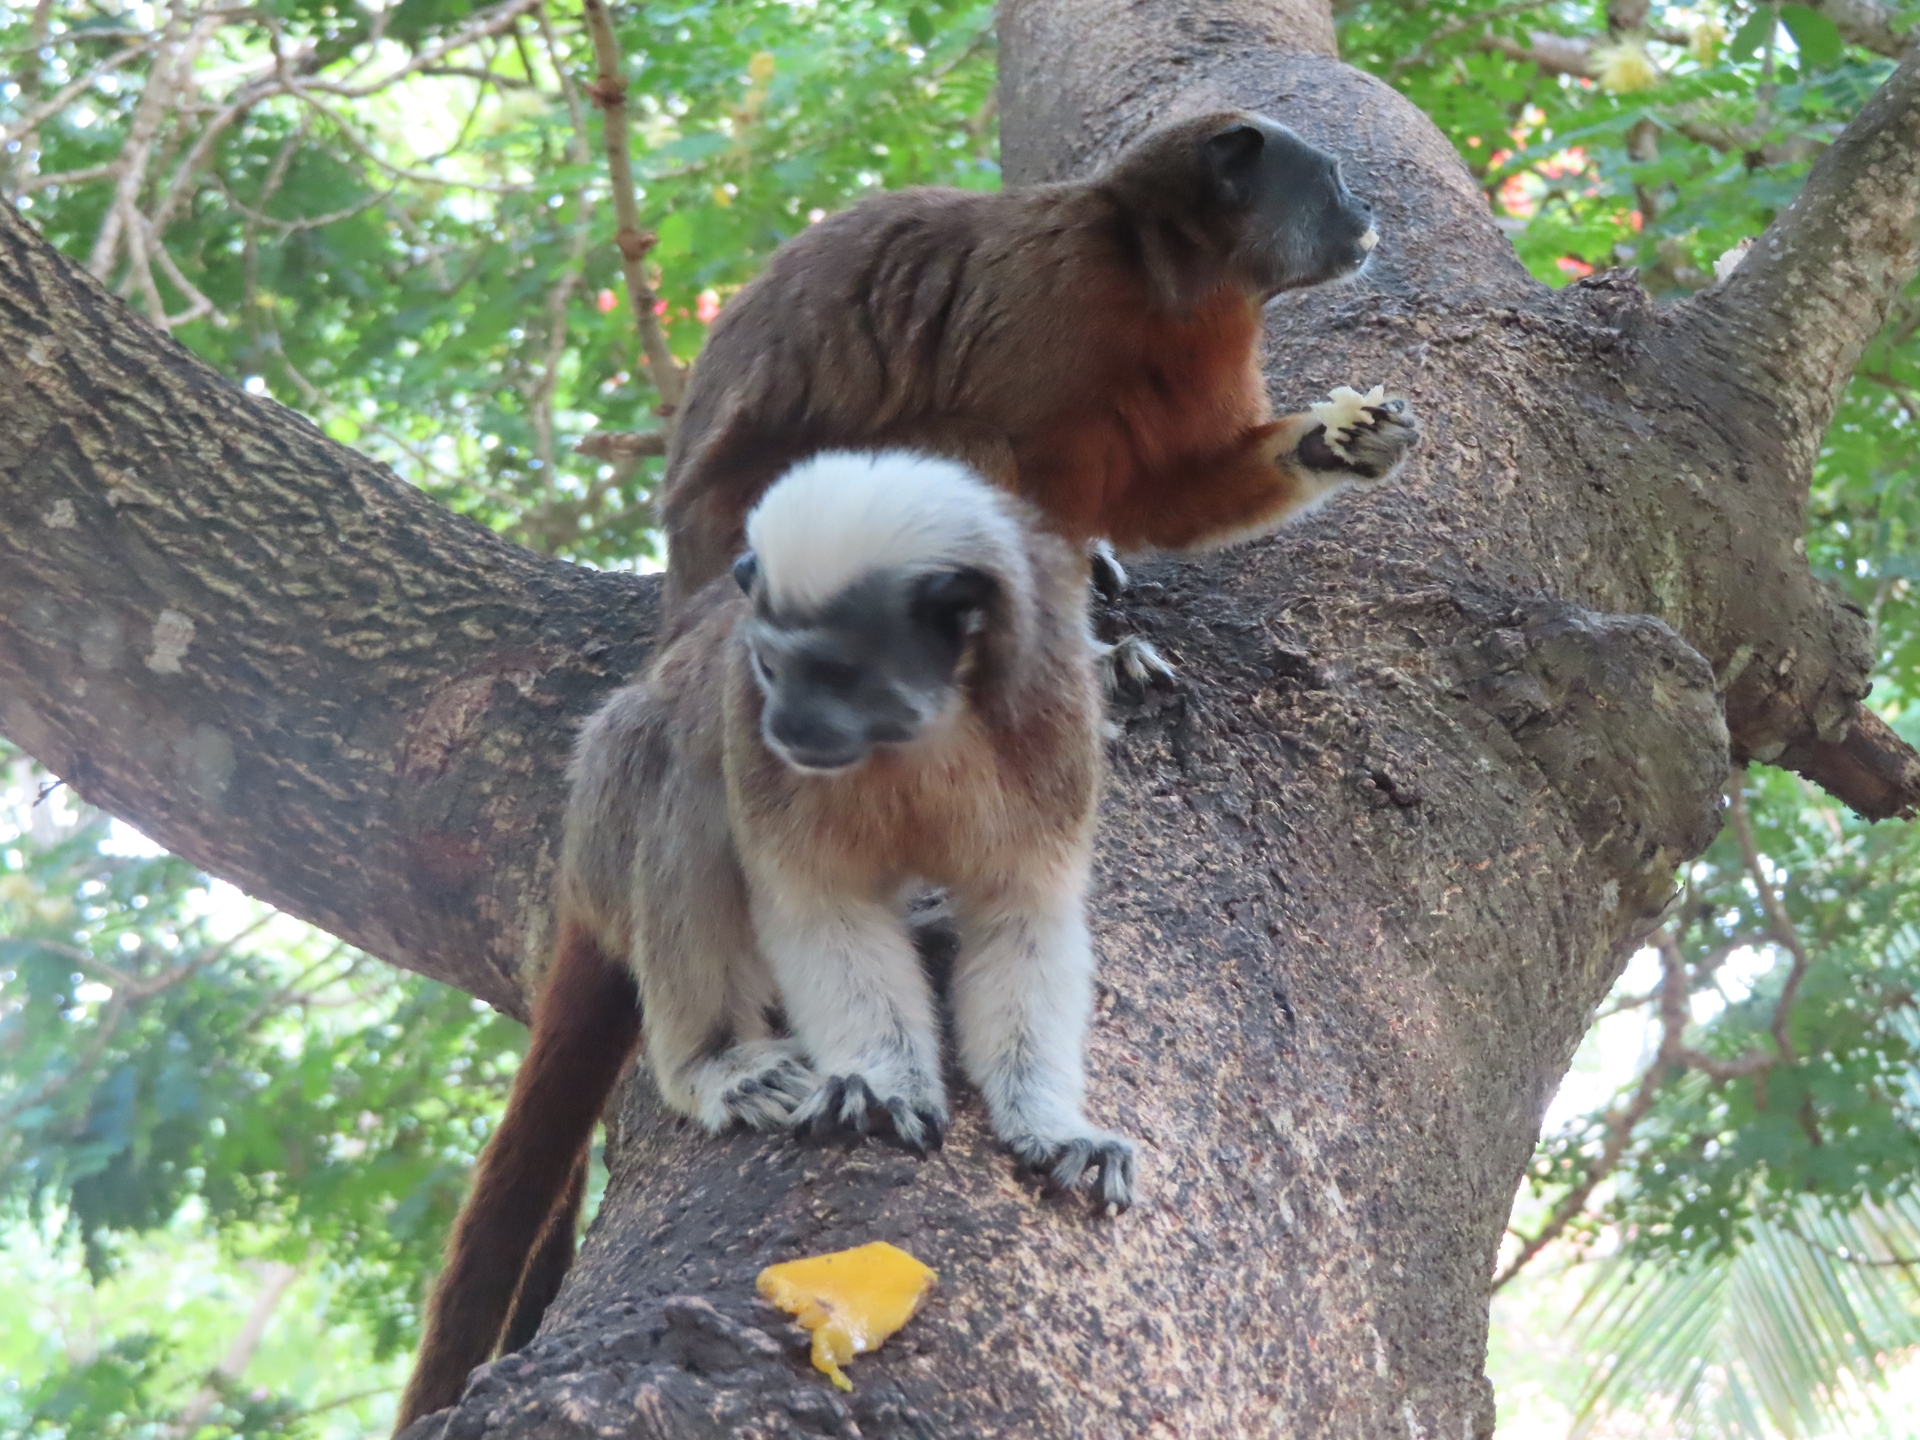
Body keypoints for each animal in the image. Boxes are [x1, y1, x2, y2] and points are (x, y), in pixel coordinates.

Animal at [395, 450, 1129, 1432]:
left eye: (839, 673)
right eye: (774, 669)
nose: (788, 725)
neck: (920, 732)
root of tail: (575, 877)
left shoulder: (1051, 718)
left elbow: (1026, 916)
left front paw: (1051, 1123)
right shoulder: (754, 727)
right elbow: (816, 907)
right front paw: (881, 1081)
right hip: (608, 826)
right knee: (680, 769)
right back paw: (710, 1062)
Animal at [656, 108, 1423, 651]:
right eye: (1334, 181)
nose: (1367, 208)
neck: (1155, 274)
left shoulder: (1215, 335)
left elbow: (1159, 496)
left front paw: (1346, 442)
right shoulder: (1059, 293)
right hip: (749, 517)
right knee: (972, 446)